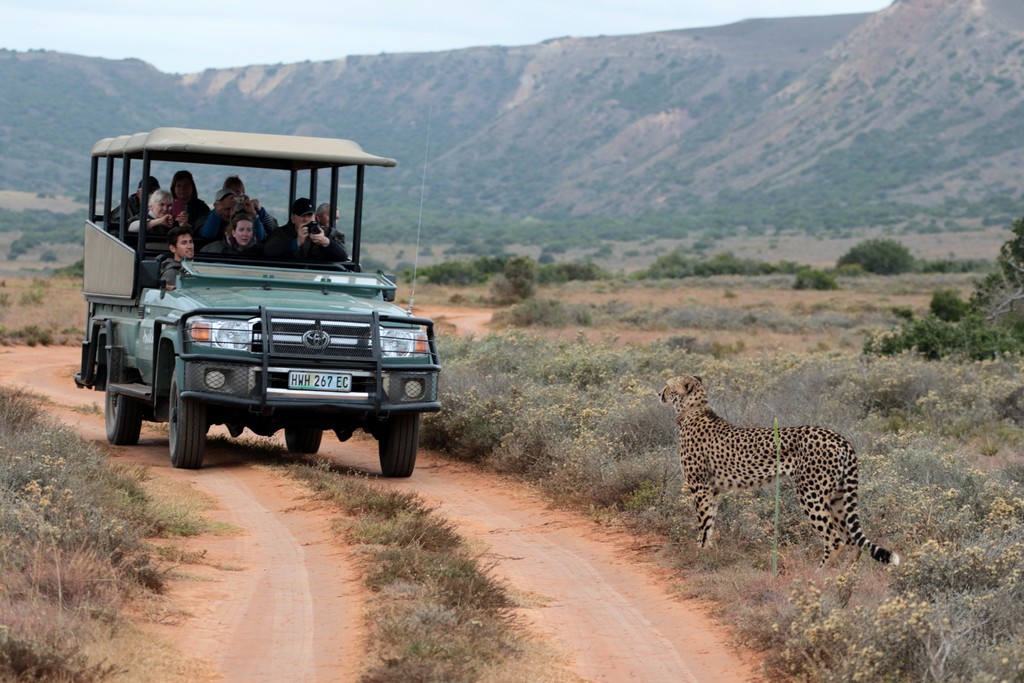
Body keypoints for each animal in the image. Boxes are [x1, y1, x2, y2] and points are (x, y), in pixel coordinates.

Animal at [659, 376, 901, 569]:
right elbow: (710, 524)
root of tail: (840, 438)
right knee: (852, 541)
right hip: (838, 497)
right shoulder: (713, 490)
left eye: (668, 385)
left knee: (834, 540)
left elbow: (703, 525)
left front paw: (699, 555)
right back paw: (845, 579)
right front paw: (708, 553)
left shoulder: (700, 488)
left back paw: (819, 575)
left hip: (810, 494)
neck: (692, 411)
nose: (659, 393)